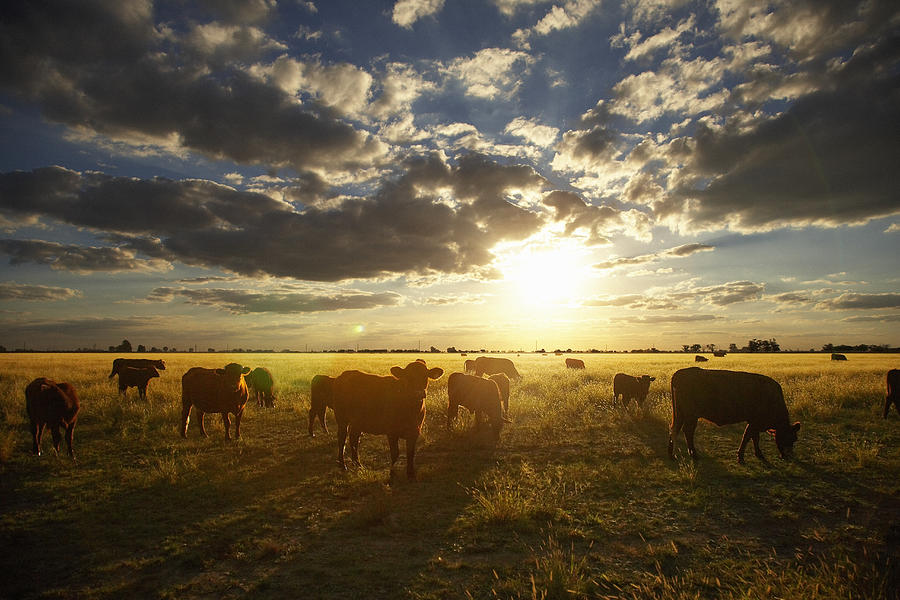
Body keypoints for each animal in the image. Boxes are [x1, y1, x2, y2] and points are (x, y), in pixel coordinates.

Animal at [668, 366, 800, 464]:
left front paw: (758, 454)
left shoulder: (753, 422)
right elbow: (748, 437)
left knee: (675, 429)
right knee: (687, 431)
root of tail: (679, 373)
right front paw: (741, 457)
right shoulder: (754, 422)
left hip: (681, 414)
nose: (788, 456)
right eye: (789, 437)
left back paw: (672, 455)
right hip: (691, 415)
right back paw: (694, 454)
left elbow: (754, 437)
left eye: (795, 439)